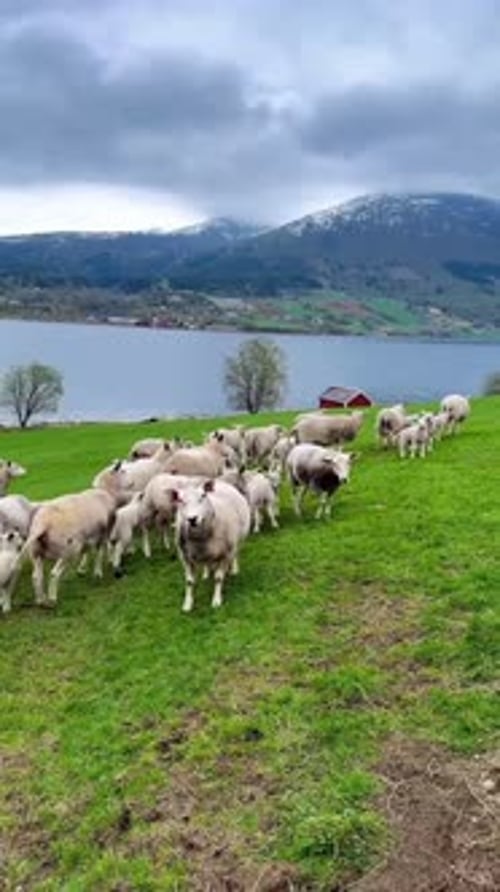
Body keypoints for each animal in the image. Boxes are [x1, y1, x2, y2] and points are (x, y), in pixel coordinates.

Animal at [173, 478, 250, 611]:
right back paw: (206, 573)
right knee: (207, 562)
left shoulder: (226, 554)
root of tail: (220, 482)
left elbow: (218, 578)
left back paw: (234, 569)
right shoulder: (185, 557)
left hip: (237, 541)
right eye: (180, 500)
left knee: (236, 554)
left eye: (203, 496)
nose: (192, 519)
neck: (200, 538)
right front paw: (188, 604)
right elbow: (189, 581)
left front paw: (216, 601)